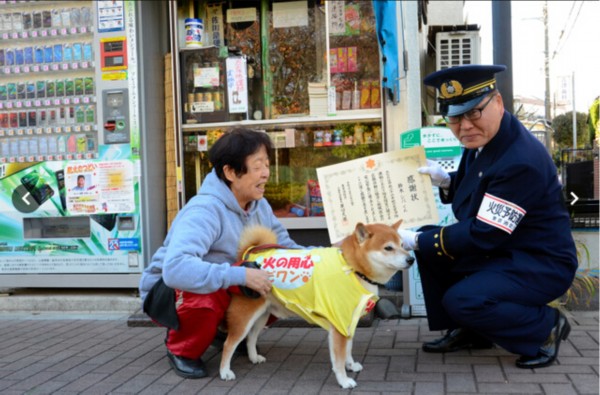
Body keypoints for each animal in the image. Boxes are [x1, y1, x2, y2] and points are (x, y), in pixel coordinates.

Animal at [219, 223, 412, 390]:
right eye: (388, 248)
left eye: (403, 245)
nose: (411, 259)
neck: (351, 268)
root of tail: (248, 256)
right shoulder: (339, 325)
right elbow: (339, 359)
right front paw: (344, 380)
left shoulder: (348, 321)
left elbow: (347, 350)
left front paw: (350, 365)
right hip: (245, 317)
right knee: (229, 343)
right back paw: (225, 372)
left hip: (262, 316)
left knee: (251, 338)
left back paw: (253, 358)